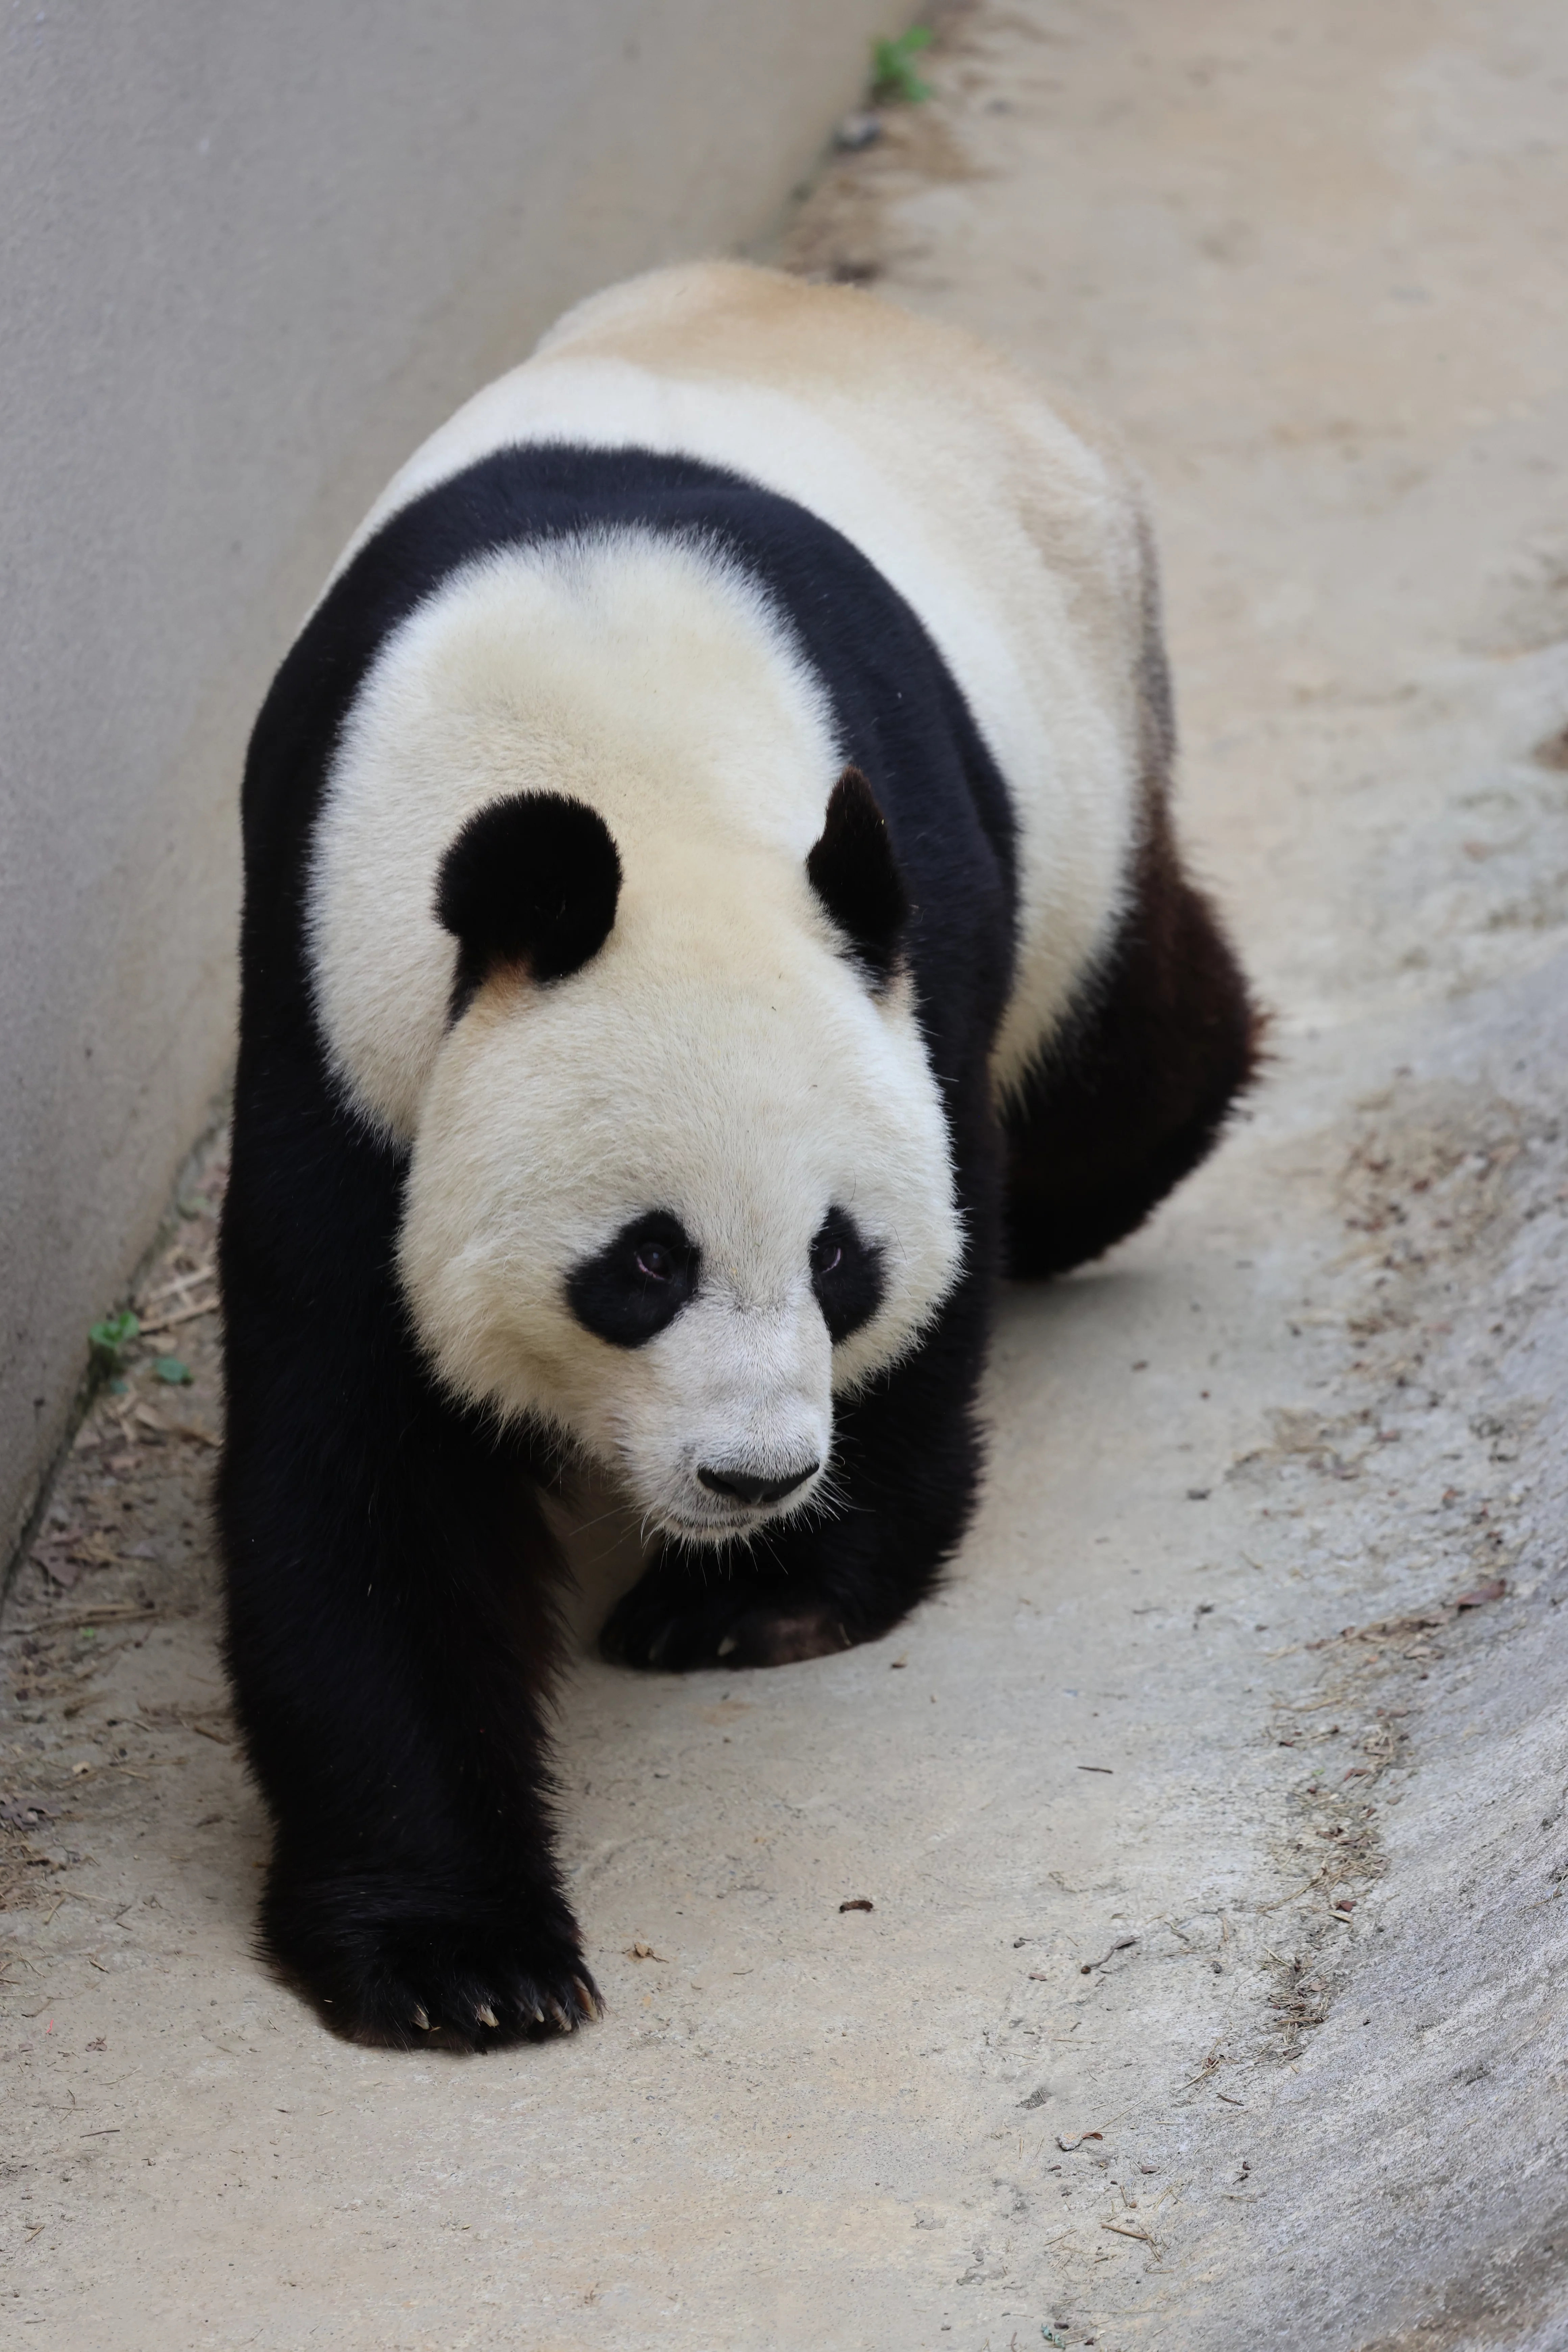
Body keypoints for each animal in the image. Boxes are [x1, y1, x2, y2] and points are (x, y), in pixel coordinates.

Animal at [219, 261, 1257, 2049]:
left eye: (838, 1260)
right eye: (641, 1265)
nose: (752, 1478)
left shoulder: (911, 933)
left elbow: (953, 1230)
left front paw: (758, 1599)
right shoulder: (336, 1028)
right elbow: (352, 1478)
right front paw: (459, 1960)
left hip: (1081, 751)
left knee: (1114, 1044)